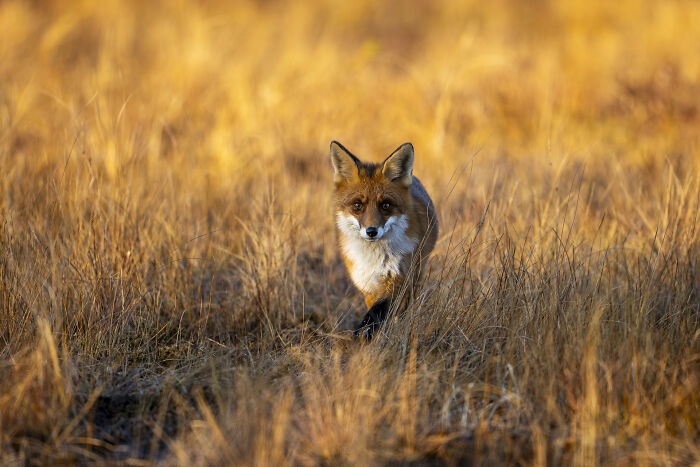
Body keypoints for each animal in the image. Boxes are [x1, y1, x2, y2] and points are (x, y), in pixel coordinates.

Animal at [330, 141, 438, 338]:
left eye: (385, 205)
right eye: (358, 205)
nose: (371, 231)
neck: (374, 258)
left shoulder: (397, 277)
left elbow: (378, 312)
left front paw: (366, 335)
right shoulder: (367, 284)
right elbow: (374, 311)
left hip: (416, 272)